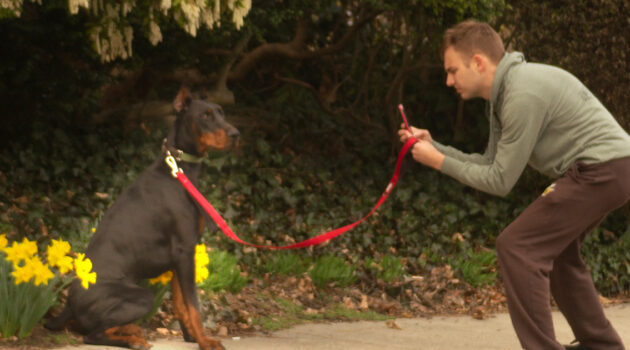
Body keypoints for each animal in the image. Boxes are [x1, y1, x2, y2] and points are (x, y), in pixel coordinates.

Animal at [46, 85, 239, 350]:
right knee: (92, 334)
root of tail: (69, 305)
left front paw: (191, 336)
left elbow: (181, 304)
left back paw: (132, 330)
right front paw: (205, 340)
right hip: (142, 296)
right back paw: (133, 338)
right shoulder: (185, 250)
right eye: (205, 116)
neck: (178, 170)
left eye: (221, 112)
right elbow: (194, 305)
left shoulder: (179, 256)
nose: (236, 134)